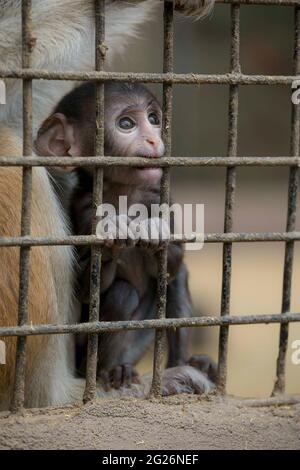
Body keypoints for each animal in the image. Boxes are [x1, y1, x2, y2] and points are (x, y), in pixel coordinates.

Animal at [36, 83, 217, 392]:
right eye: (126, 124)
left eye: (154, 119)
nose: (154, 140)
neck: (125, 194)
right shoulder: (83, 208)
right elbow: (84, 288)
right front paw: (114, 233)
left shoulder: (160, 197)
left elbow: (172, 266)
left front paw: (152, 232)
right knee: (123, 294)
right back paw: (111, 370)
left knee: (176, 282)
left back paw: (187, 364)